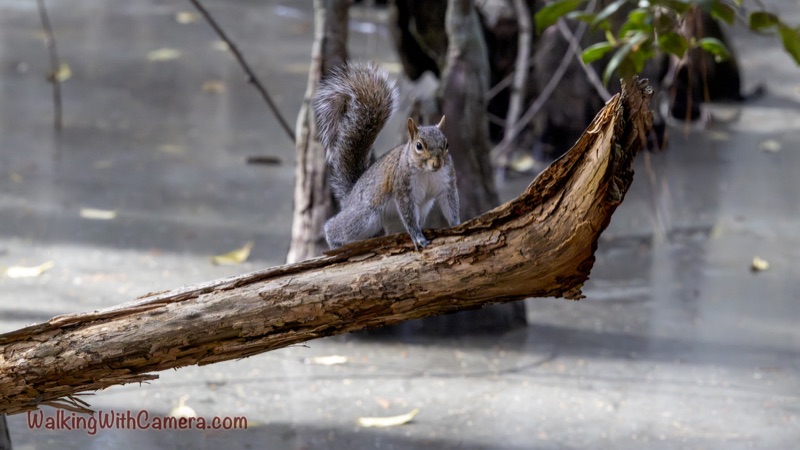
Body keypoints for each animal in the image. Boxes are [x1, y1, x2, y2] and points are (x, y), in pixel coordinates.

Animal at [313, 61, 460, 250]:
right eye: (419, 146)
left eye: (446, 144)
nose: (437, 164)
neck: (427, 172)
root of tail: (351, 194)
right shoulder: (402, 187)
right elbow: (408, 216)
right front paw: (418, 238)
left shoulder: (447, 182)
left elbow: (451, 205)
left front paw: (457, 224)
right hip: (366, 216)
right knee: (334, 227)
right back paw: (334, 243)